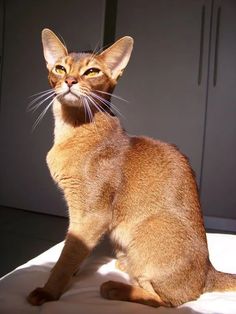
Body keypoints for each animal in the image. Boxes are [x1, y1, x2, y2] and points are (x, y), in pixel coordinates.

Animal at [27, 28, 236, 308]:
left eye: (92, 72)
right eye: (60, 68)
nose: (70, 80)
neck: (73, 130)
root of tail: (208, 273)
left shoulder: (91, 215)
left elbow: (68, 254)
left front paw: (48, 292)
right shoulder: (77, 213)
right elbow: (74, 250)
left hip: (148, 231)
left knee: (168, 300)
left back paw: (116, 287)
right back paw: (124, 267)